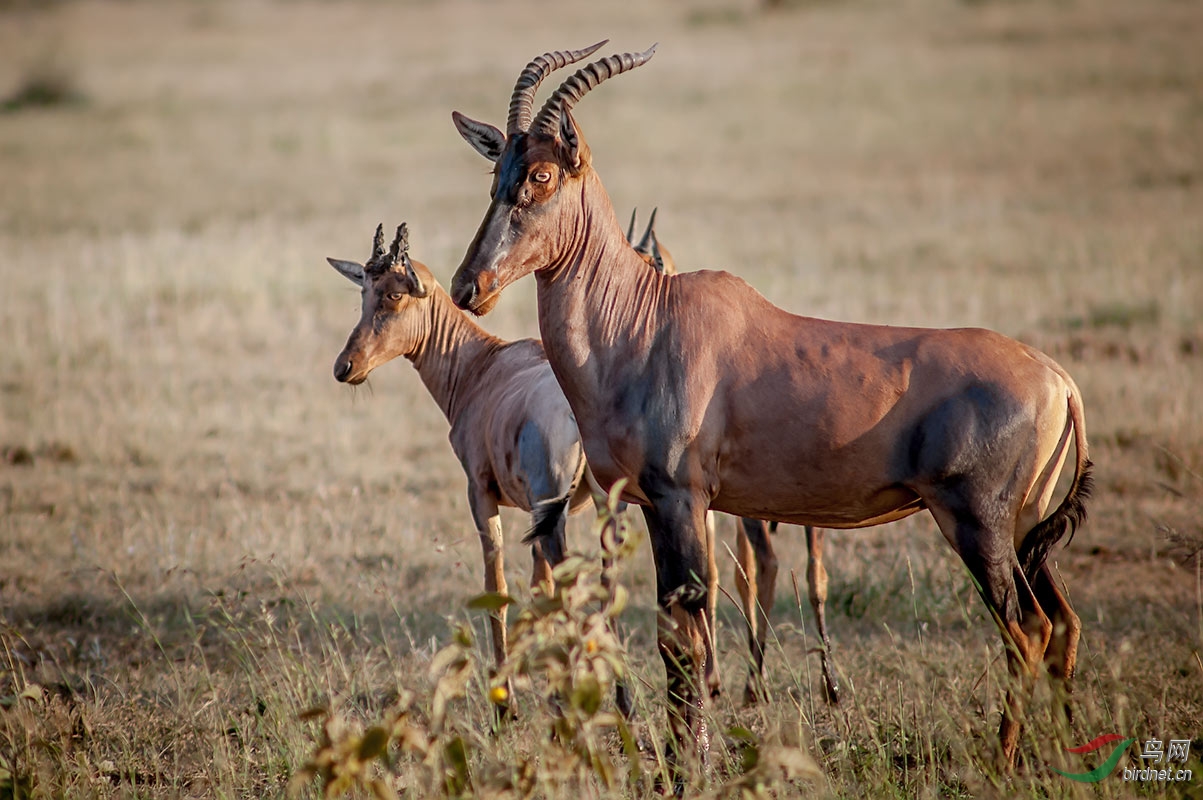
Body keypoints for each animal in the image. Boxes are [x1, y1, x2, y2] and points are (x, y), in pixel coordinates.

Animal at [449, 43, 1092, 769]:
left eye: (543, 173)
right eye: (496, 171)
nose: (469, 287)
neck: (646, 319)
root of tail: (1057, 379)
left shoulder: (681, 499)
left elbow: (687, 640)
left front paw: (689, 765)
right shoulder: (648, 504)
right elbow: (677, 635)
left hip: (977, 522)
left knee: (1026, 629)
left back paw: (1003, 759)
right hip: (1025, 530)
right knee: (1062, 623)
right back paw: (1067, 752)